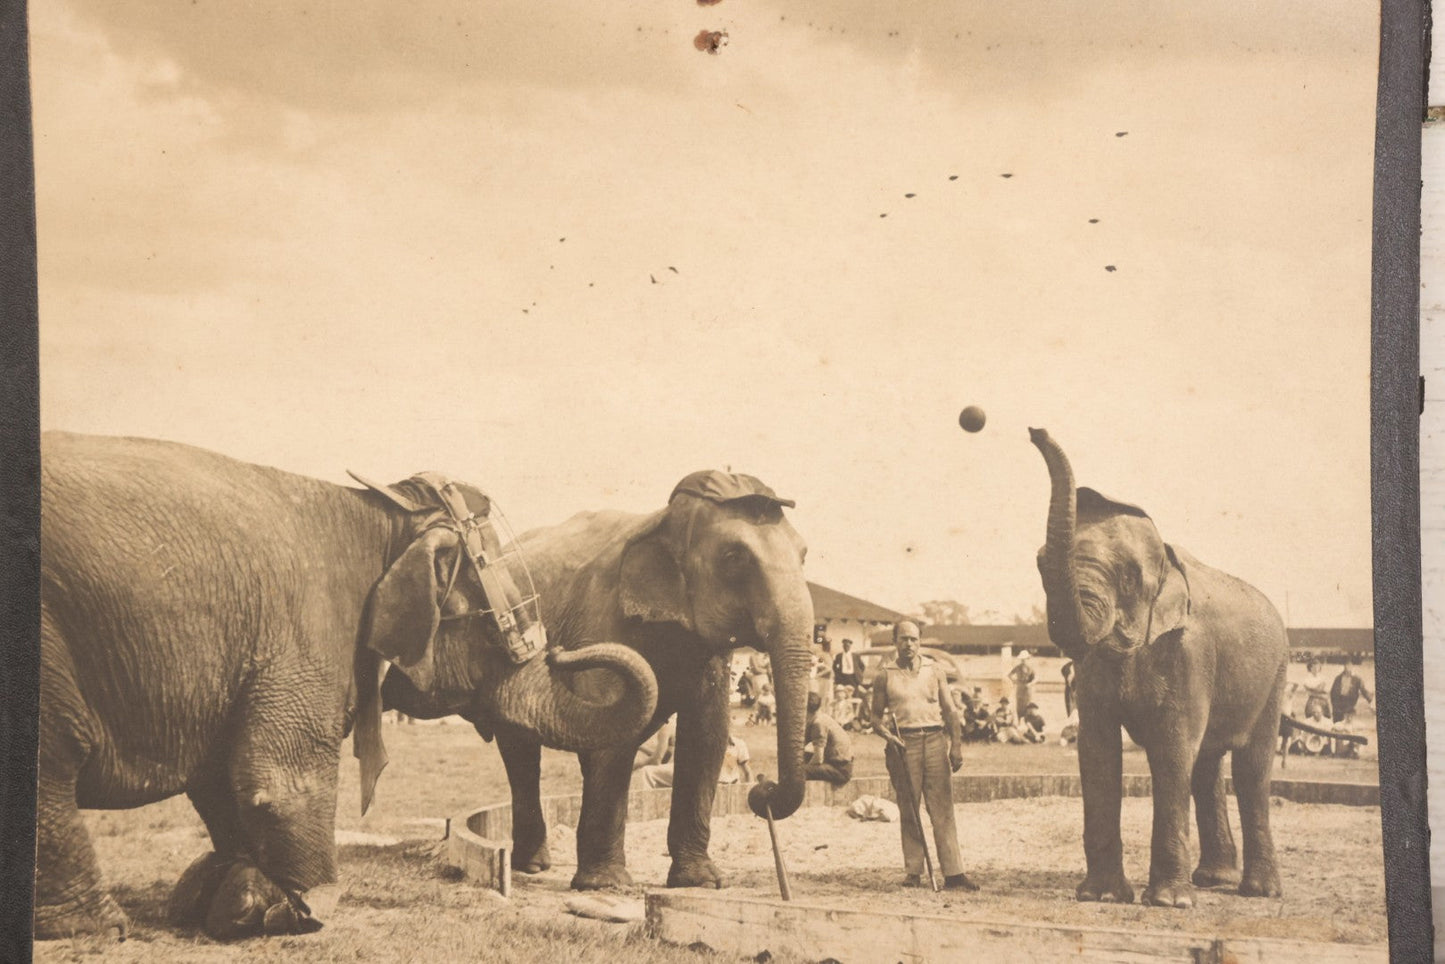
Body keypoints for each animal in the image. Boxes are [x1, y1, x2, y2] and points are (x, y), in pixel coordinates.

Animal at [35, 432, 657, 940]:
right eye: (503, 622)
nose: (559, 648)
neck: (380, 514)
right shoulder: (302, 629)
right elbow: (276, 779)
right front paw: (298, 906)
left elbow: (219, 778)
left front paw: (227, 894)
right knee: (54, 758)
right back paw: (97, 927)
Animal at [394, 469, 814, 891]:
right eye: (734, 557)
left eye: (804, 555)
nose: (762, 789)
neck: (661, 520)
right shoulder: (602, 618)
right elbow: (613, 742)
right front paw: (605, 884)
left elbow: (706, 737)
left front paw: (701, 882)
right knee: (520, 750)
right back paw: (533, 867)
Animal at [1029, 428, 1288, 908]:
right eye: (1039, 563)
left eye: (1130, 577)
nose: (1035, 430)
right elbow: (1096, 749)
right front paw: (1101, 897)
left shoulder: (1189, 653)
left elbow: (1171, 748)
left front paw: (1168, 902)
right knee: (1207, 767)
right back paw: (1214, 880)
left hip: (1275, 677)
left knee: (1251, 770)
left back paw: (1257, 892)